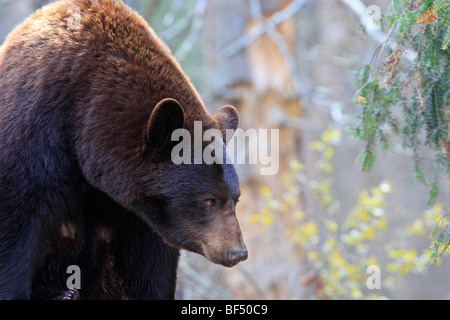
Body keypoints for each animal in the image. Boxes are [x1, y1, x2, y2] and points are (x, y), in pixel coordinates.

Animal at [0, 0, 246, 300]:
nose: (237, 253)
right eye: (208, 201)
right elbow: (15, 233)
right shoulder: (31, 140)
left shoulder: (137, 212)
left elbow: (150, 266)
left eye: (236, 198)